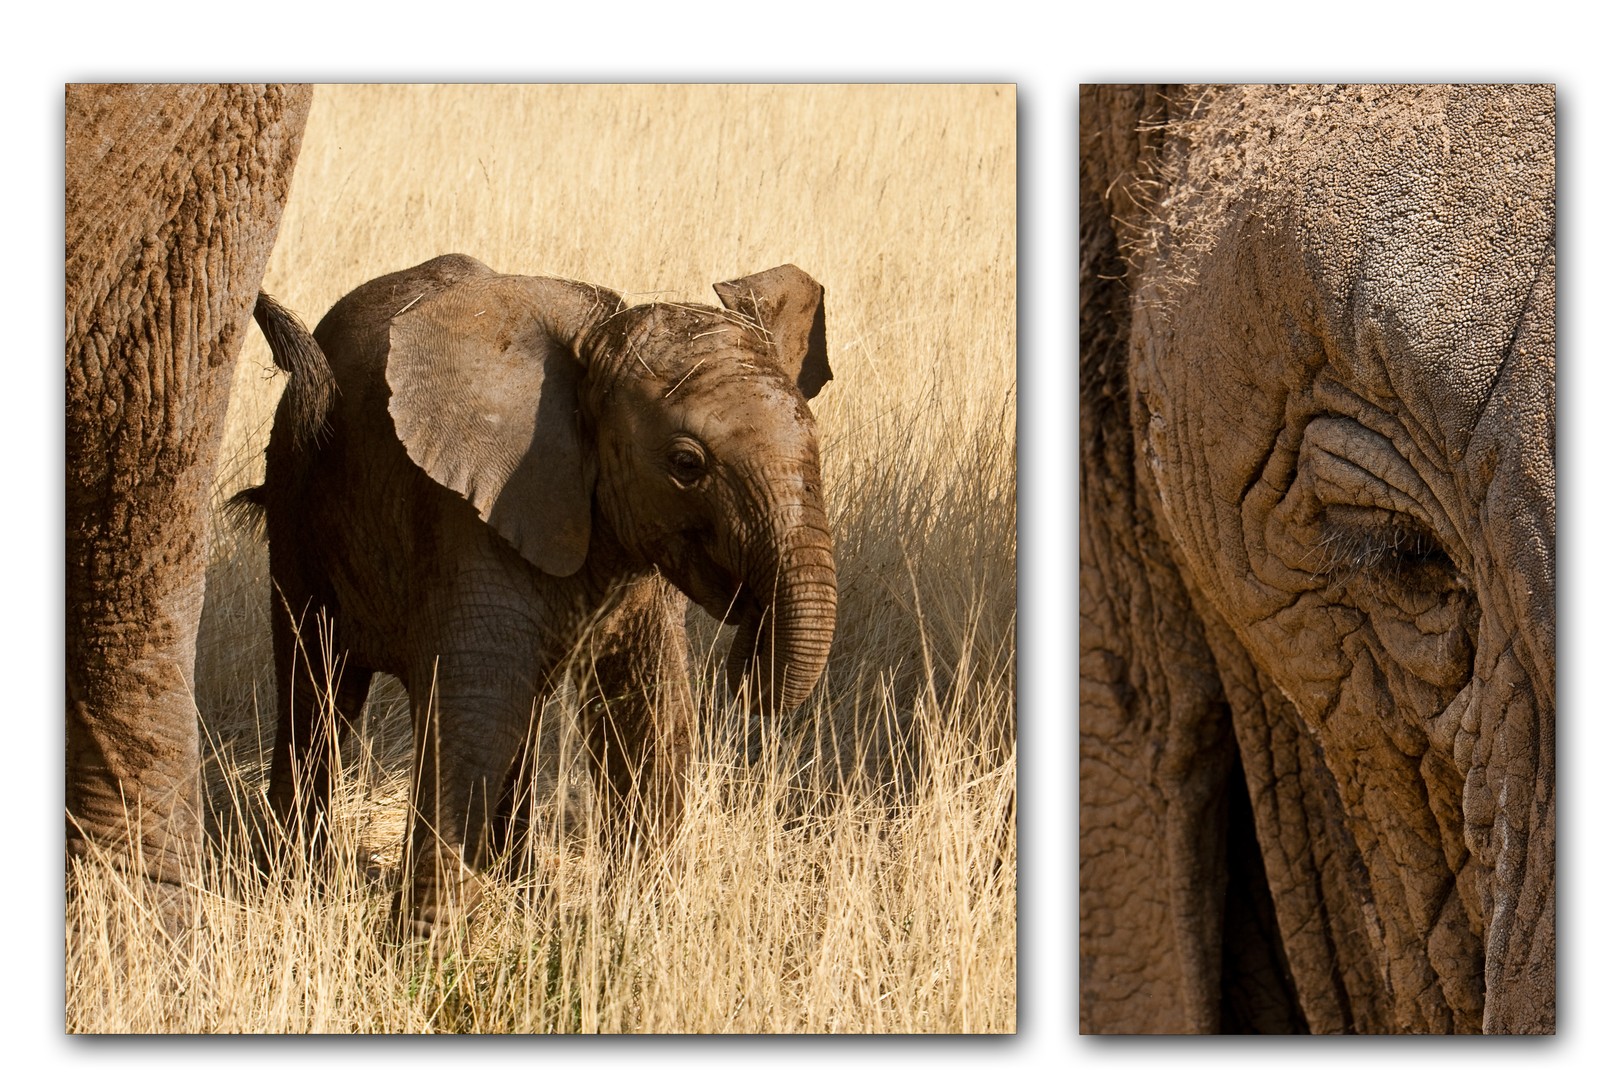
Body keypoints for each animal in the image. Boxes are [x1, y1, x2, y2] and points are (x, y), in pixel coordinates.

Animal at [249, 254, 849, 934]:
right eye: (686, 465)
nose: (750, 635)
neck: (593, 352)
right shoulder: (475, 510)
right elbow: (477, 711)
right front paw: (426, 945)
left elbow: (649, 710)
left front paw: (639, 924)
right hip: (296, 489)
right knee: (318, 684)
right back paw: (291, 878)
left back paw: (516, 883)